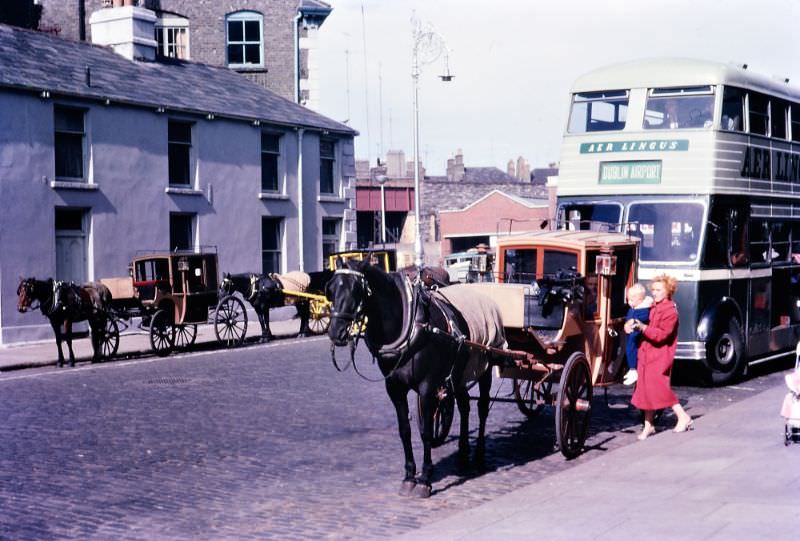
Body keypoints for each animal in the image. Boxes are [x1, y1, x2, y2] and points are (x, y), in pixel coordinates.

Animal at [324, 260, 500, 496]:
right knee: (464, 407)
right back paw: (463, 454)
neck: (408, 325)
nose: (336, 332)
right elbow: (404, 430)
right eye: (331, 289)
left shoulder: (428, 387)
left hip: (485, 366)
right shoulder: (394, 387)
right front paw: (409, 476)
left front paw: (425, 478)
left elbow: (426, 431)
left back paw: (479, 456)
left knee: (481, 409)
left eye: (356, 289)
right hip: (461, 372)